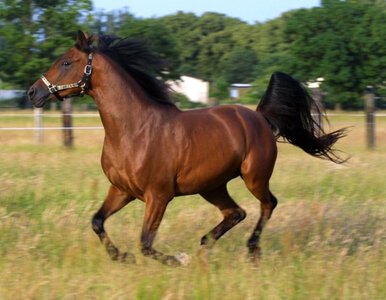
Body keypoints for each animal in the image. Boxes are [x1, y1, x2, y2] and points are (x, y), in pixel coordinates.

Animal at [27, 30, 346, 264]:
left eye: (66, 62)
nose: (33, 92)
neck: (134, 130)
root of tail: (260, 118)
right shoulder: (121, 190)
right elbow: (97, 222)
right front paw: (122, 257)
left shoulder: (158, 196)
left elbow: (145, 243)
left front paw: (177, 259)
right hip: (212, 186)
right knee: (236, 213)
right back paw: (205, 245)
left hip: (254, 177)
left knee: (268, 204)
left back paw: (251, 250)